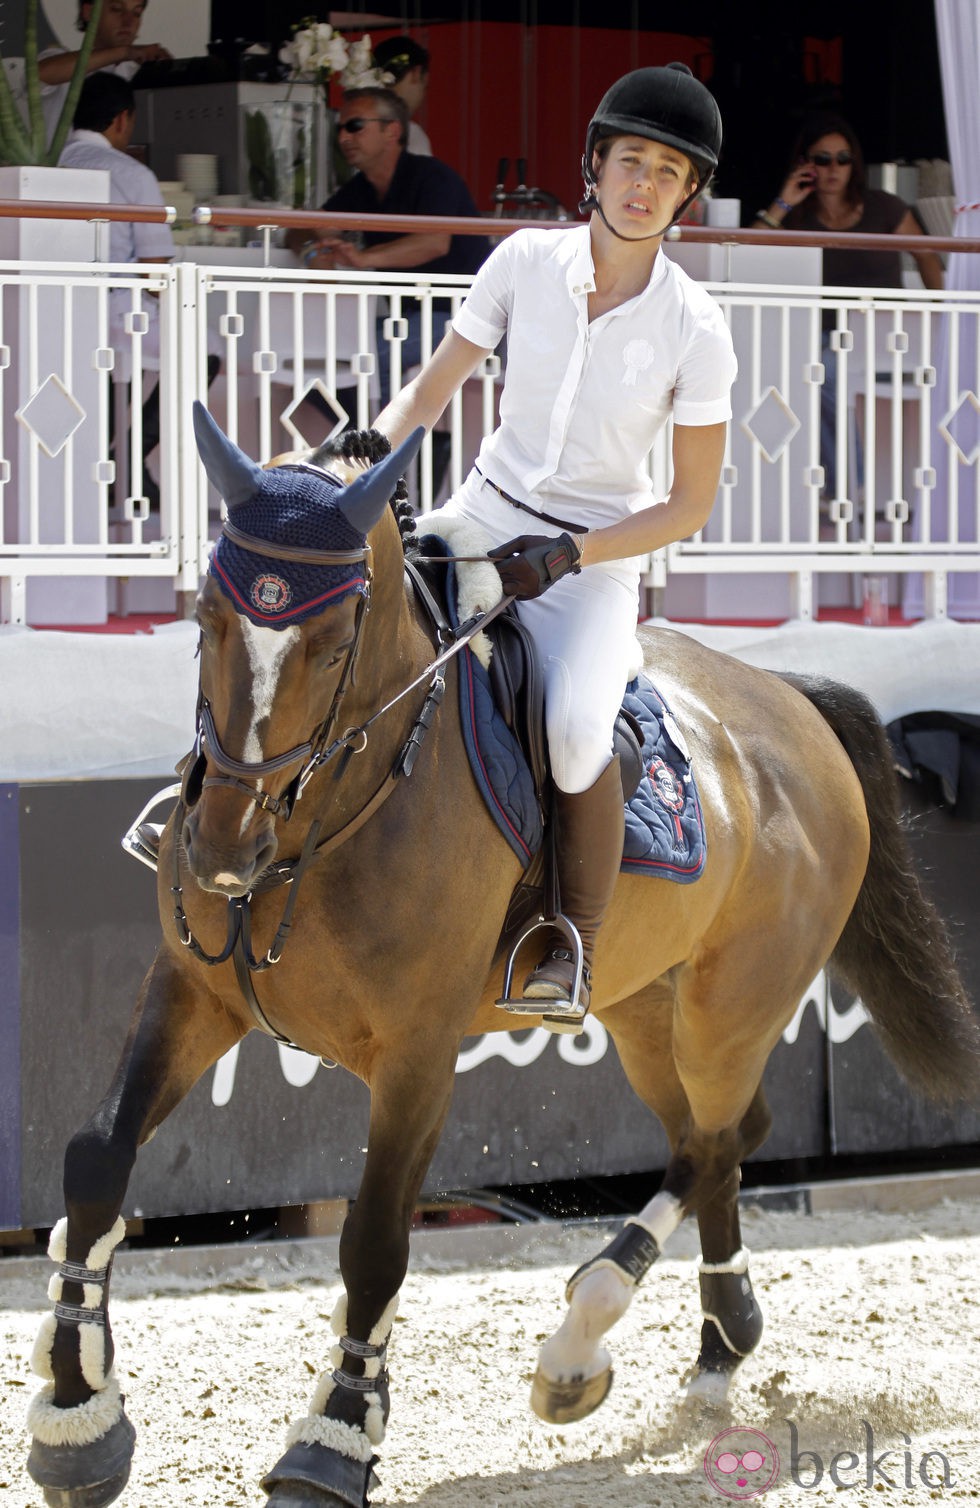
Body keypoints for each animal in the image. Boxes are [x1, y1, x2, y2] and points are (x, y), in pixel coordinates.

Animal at [24, 410, 976, 1508]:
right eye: (209, 620)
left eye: (334, 642)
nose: (221, 850)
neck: (327, 817)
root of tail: (790, 698)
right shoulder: (191, 992)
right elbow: (96, 1161)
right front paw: (77, 1416)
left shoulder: (418, 1052)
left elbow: (374, 1238)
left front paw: (332, 1439)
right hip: (644, 1008)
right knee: (719, 1138)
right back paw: (710, 1346)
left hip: (730, 1005)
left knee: (716, 1137)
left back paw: (587, 1337)